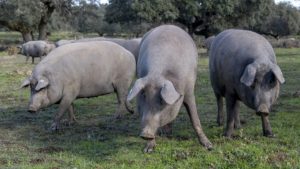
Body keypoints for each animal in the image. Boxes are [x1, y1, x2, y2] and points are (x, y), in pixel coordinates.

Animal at [127, 24, 212, 152]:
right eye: (143, 96)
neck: (158, 74)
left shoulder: (189, 90)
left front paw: (209, 146)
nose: (145, 134)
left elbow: (195, 118)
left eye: (162, 100)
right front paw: (148, 150)